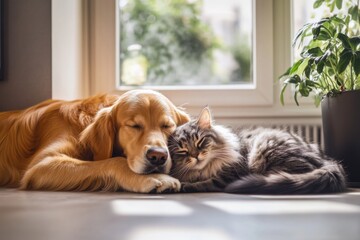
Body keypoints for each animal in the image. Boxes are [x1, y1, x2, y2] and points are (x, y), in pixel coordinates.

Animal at [0, 89, 190, 192]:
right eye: (134, 126)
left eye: (167, 126)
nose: (158, 156)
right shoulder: (42, 163)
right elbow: (114, 161)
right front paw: (157, 178)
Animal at [168, 108, 346, 194]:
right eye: (183, 151)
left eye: (200, 142)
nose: (196, 156)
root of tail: (327, 161)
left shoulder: (230, 175)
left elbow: (204, 183)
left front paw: (182, 186)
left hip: (265, 146)